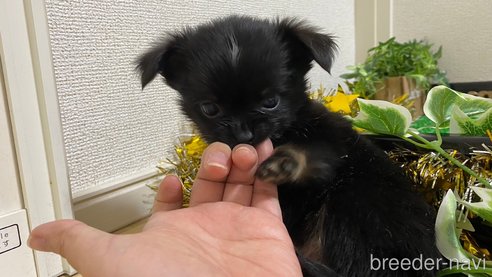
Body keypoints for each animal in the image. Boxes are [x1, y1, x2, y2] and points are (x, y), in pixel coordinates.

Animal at [136, 15, 440, 276]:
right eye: (209, 108)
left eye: (271, 102)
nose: (244, 133)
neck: (286, 130)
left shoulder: (328, 147)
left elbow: (313, 159)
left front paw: (285, 162)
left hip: (354, 202)